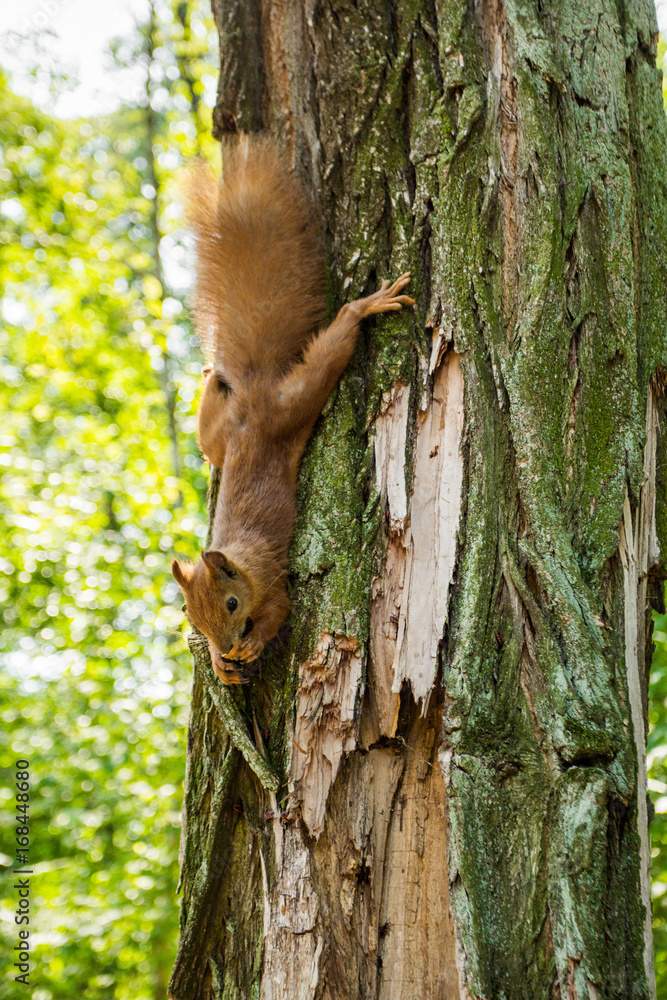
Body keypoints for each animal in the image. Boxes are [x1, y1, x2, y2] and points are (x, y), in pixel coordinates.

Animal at [171, 137, 414, 684]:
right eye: (191, 617)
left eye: (232, 604)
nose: (226, 644)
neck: (240, 560)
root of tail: (254, 394)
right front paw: (219, 663)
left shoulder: (271, 579)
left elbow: (281, 611)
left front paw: (252, 645)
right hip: (221, 440)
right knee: (209, 436)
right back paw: (208, 375)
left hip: (292, 405)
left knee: (330, 352)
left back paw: (364, 308)